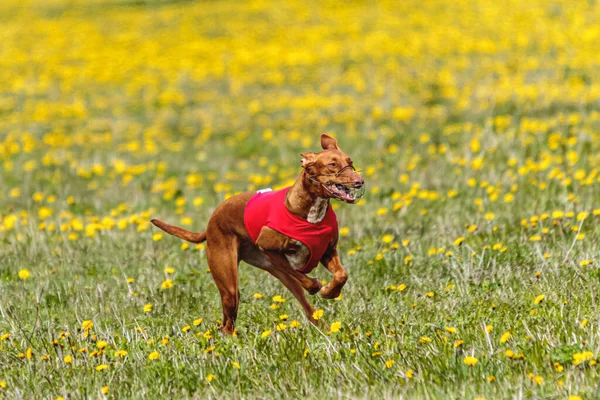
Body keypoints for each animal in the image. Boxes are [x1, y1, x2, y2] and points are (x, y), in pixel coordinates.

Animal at [152, 134, 364, 334]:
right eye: (332, 165)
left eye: (350, 162)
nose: (359, 181)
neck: (309, 213)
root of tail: (211, 222)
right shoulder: (267, 248)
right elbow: (306, 279)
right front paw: (319, 286)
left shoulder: (327, 251)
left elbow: (341, 275)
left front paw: (330, 292)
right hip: (230, 285)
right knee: (226, 325)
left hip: (278, 277)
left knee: (308, 310)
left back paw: (327, 330)